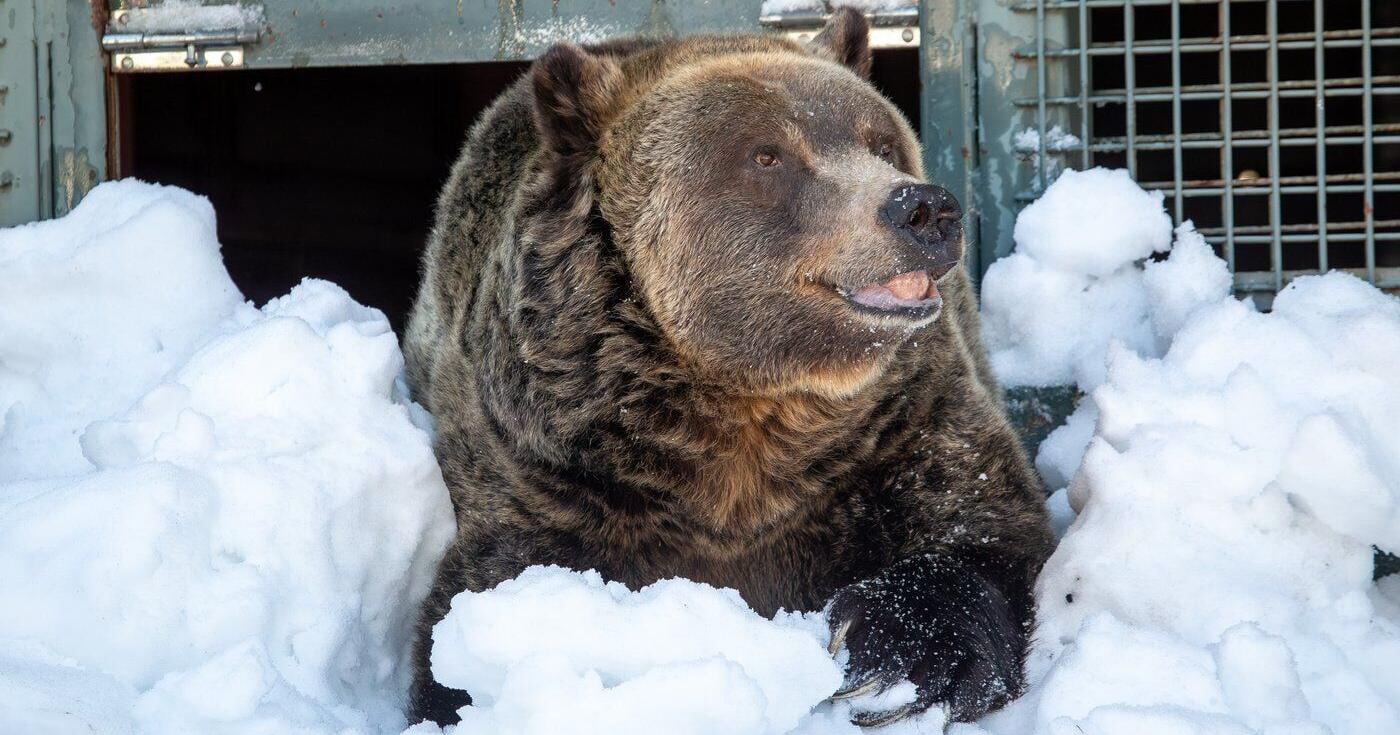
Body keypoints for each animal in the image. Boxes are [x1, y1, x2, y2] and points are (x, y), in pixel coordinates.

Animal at [403, 8, 1053, 728]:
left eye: (882, 143)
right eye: (766, 155)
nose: (922, 208)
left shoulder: (902, 425)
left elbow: (982, 530)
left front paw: (892, 657)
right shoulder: (548, 465)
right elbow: (482, 595)